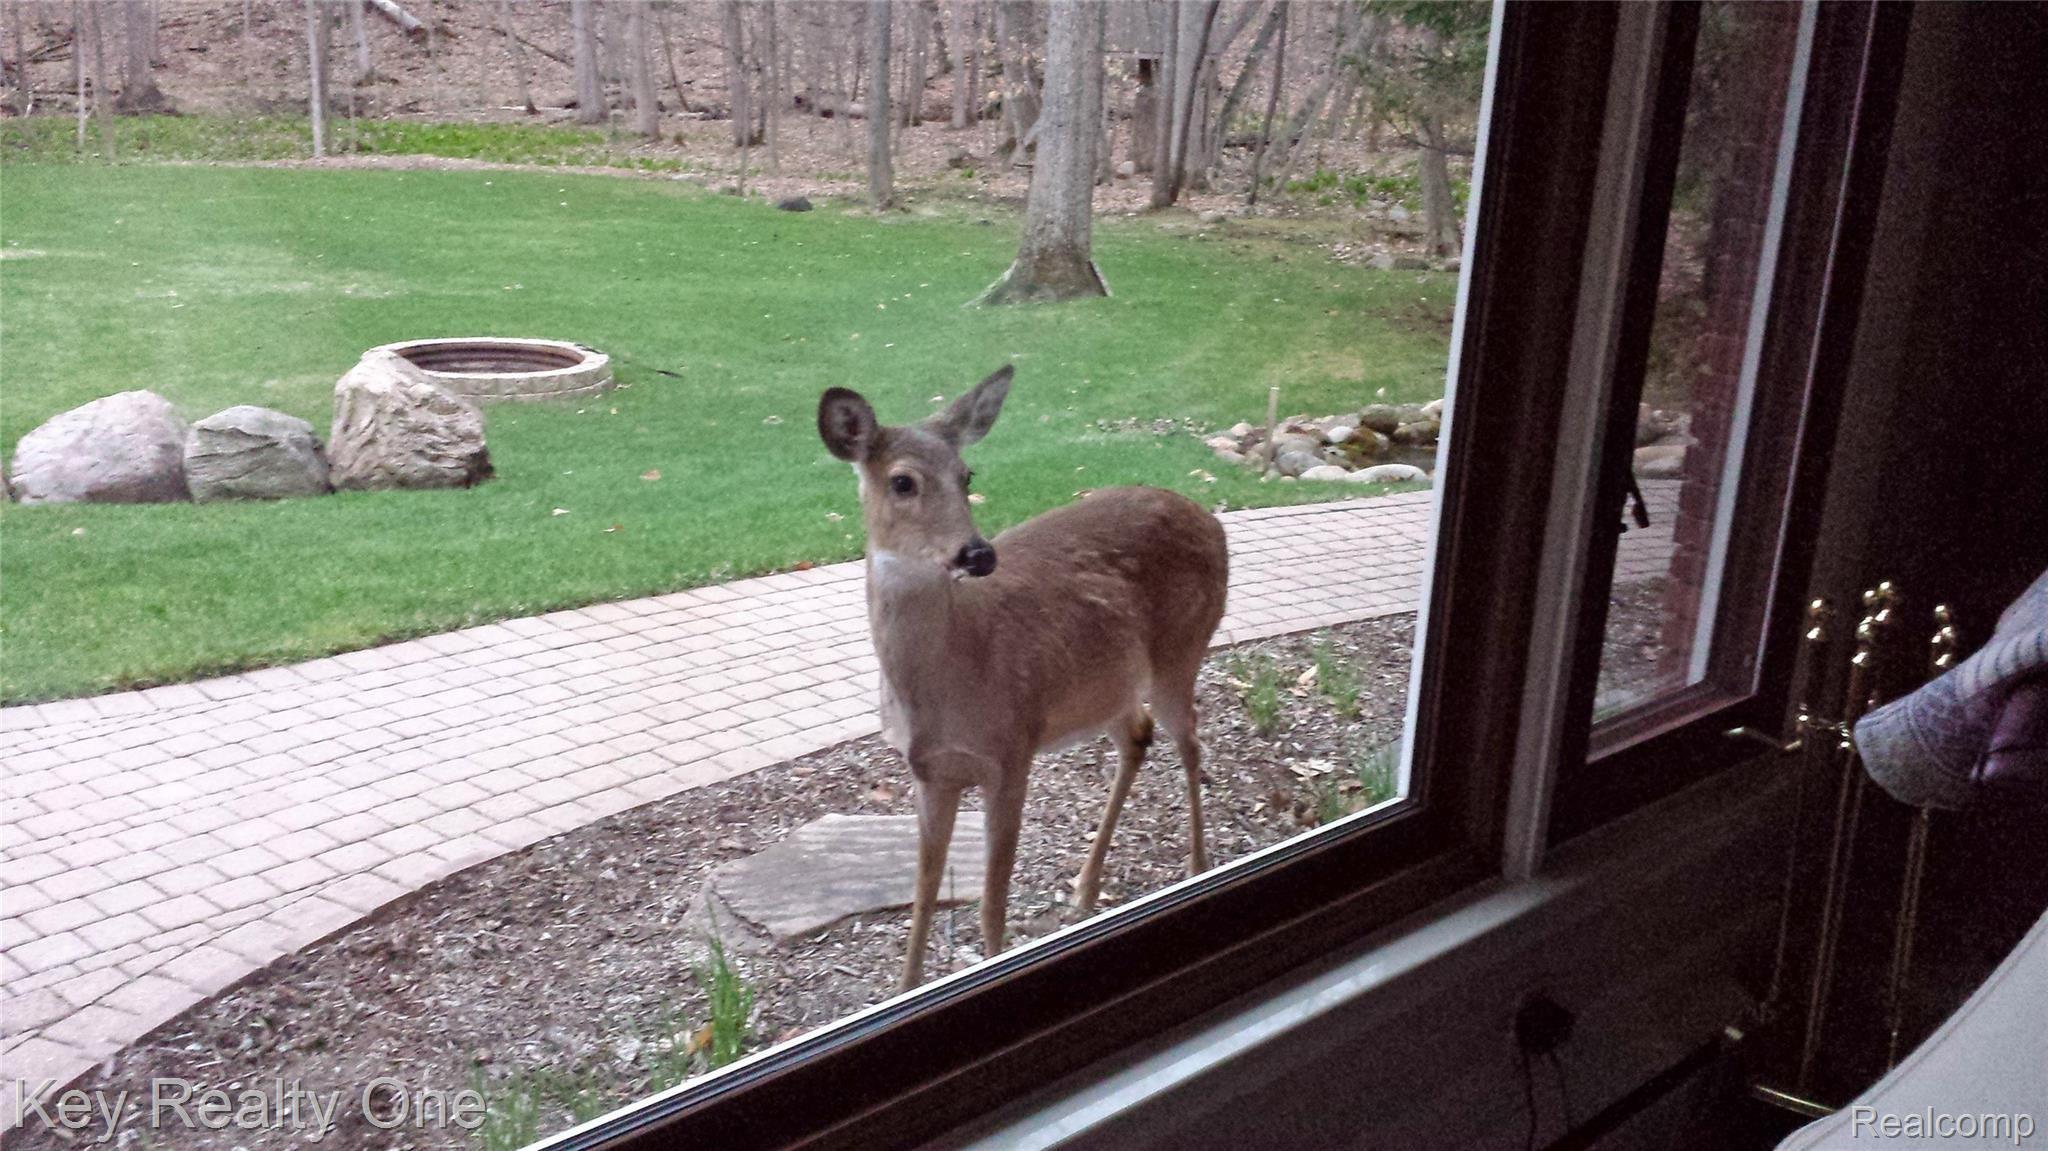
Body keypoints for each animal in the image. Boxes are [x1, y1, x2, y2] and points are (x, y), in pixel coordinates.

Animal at [816, 365, 1230, 990]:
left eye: (967, 474)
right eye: (902, 482)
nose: (978, 554)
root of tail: (1212, 518)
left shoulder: (1013, 751)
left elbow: (992, 904)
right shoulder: (928, 772)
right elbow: (923, 894)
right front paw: (906, 986)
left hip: (1182, 650)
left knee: (1191, 743)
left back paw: (1197, 865)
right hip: (1105, 686)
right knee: (1138, 736)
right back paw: (1084, 887)